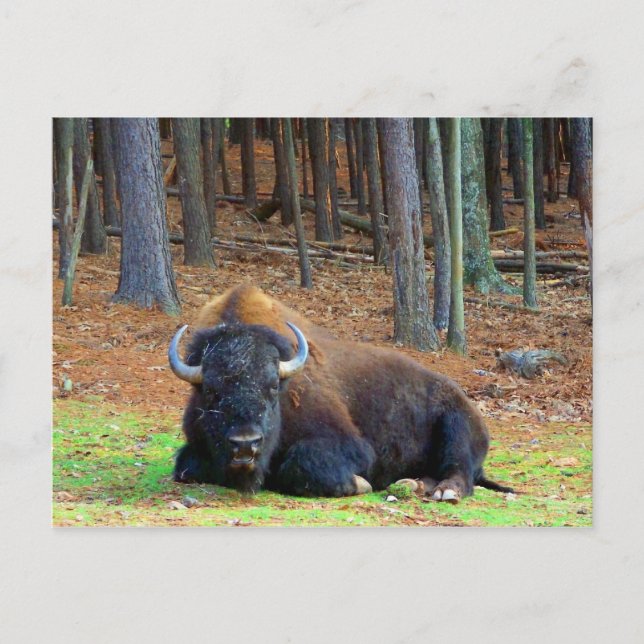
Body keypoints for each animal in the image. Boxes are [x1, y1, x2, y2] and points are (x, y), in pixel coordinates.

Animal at [168, 284, 512, 501]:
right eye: (211, 390)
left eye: (272, 386)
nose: (245, 444)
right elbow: (186, 467)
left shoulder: (352, 446)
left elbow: (302, 464)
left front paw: (359, 484)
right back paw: (409, 484)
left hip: (457, 428)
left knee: (459, 472)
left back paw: (444, 492)